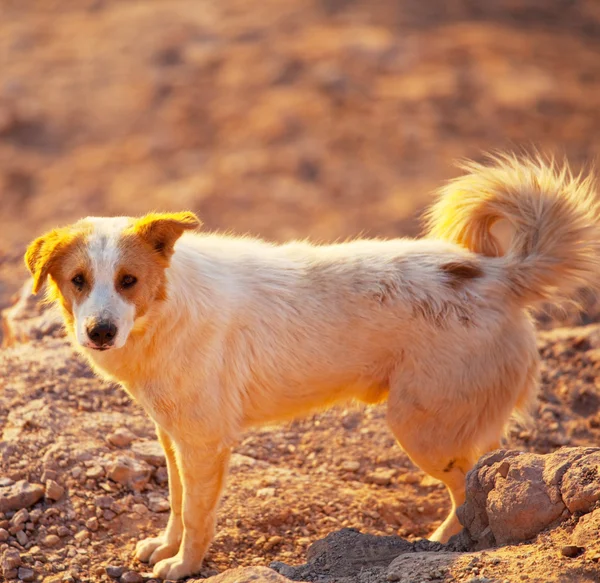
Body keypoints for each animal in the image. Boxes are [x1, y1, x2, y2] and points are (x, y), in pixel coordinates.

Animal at [23, 154, 600, 580]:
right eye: (78, 280)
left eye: (128, 280)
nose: (100, 332)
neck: (165, 309)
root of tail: (497, 275)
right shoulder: (174, 436)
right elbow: (176, 502)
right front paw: (166, 549)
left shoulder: (205, 443)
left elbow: (196, 514)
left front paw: (184, 565)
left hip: (422, 427)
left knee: (467, 488)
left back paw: (440, 545)